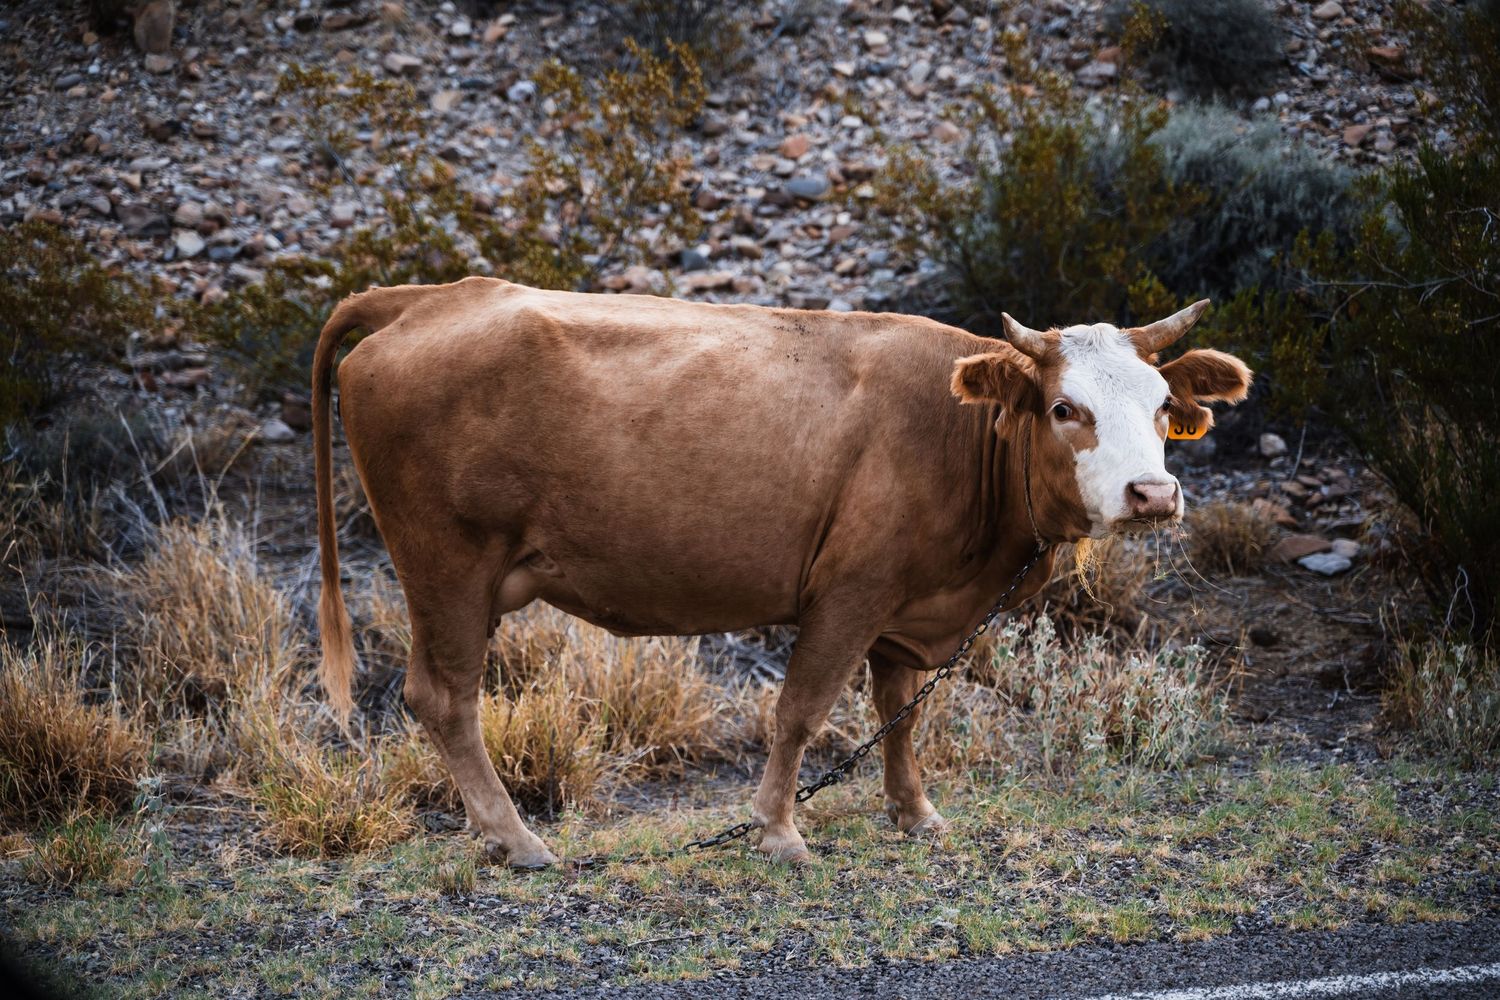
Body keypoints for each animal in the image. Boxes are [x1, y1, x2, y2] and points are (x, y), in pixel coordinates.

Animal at [312, 277, 1251, 867]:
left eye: (1163, 407)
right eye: (1064, 408)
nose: (1152, 493)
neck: (956, 431)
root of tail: (427, 297)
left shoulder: (911, 610)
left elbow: (901, 715)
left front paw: (914, 814)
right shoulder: (849, 592)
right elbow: (801, 711)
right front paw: (777, 831)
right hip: (449, 567)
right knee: (444, 698)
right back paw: (518, 841)